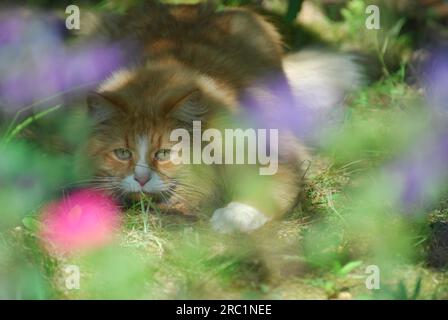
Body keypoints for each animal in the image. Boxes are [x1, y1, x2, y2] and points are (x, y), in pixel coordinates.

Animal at [79, 1, 362, 234]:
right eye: (122, 153)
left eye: (163, 154)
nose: (140, 180)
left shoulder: (278, 159)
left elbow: (264, 194)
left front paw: (230, 218)